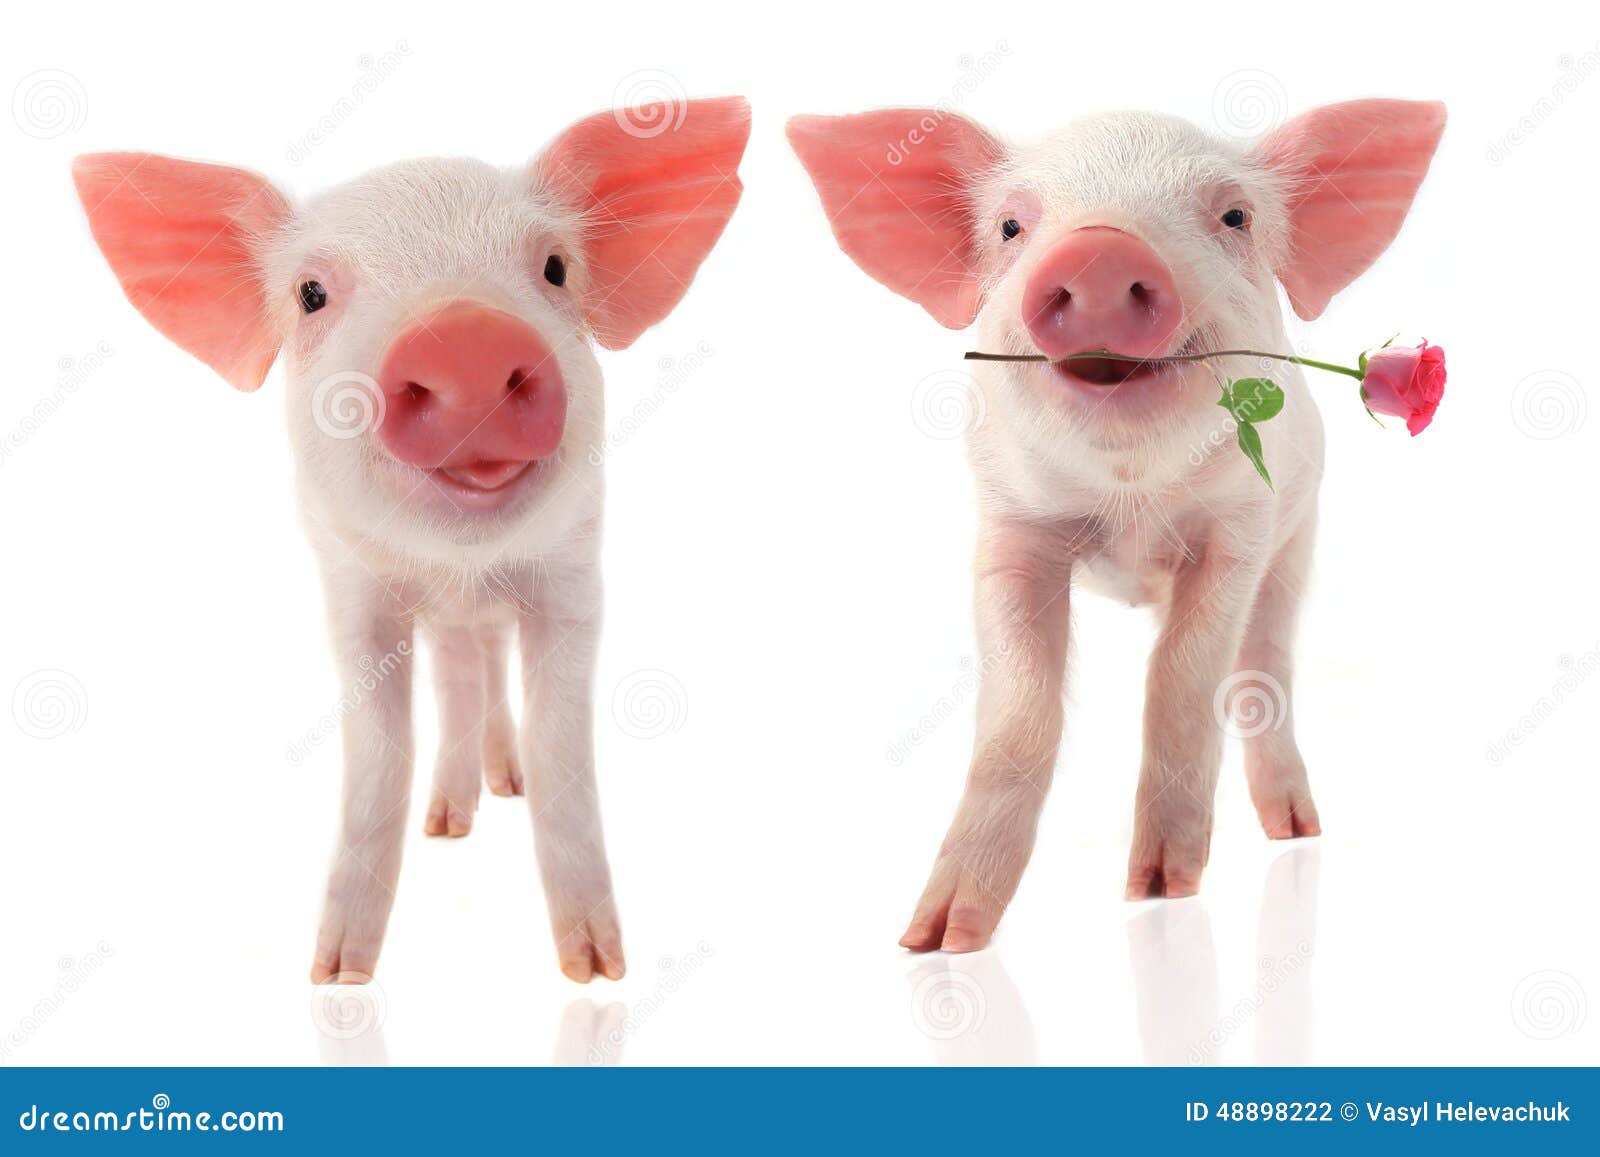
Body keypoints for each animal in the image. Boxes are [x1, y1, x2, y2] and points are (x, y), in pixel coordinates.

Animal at [73, 96, 752, 982]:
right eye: (311, 293)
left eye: (556, 268)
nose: (468, 338)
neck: (458, 569)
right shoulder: (353, 596)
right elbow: (376, 759)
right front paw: (337, 976)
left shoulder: (574, 579)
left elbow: (563, 749)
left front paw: (598, 973)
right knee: (462, 677)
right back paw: (450, 822)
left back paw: (504, 786)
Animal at [788, 99, 1444, 951]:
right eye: (1010, 226)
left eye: (1235, 215)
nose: (1100, 250)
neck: (1133, 502)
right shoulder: (1012, 528)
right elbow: (1019, 708)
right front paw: (938, 939)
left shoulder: (1242, 529)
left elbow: (1183, 678)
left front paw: (1158, 891)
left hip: (1298, 541)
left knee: (1263, 665)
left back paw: (1298, 830)